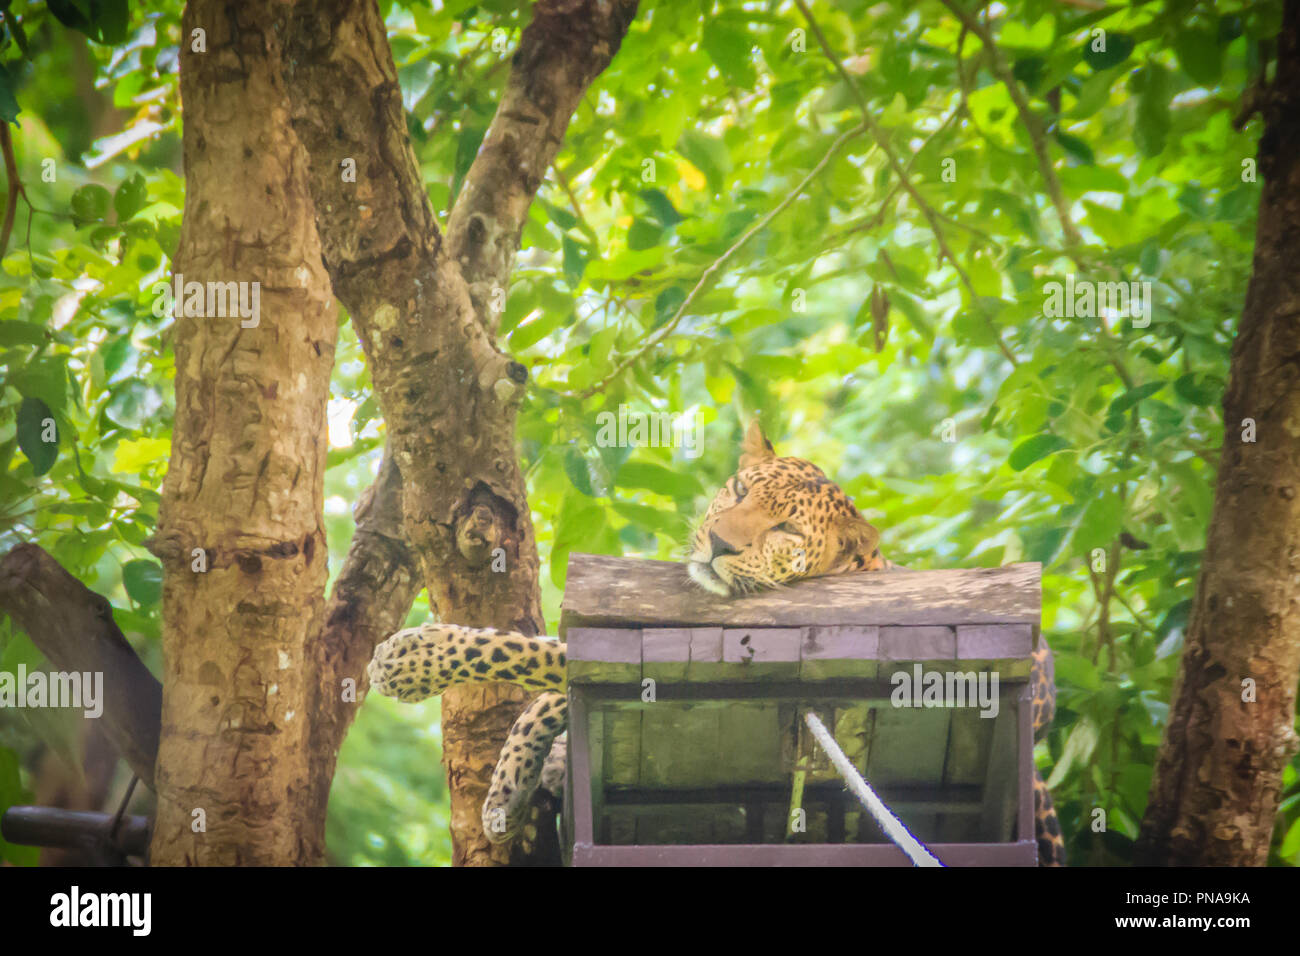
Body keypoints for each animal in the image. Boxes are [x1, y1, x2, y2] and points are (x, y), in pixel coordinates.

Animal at [361, 418, 1060, 868]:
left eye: (784, 530)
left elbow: (532, 654)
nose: (720, 543)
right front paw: (510, 786)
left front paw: (410, 660)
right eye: (742, 490)